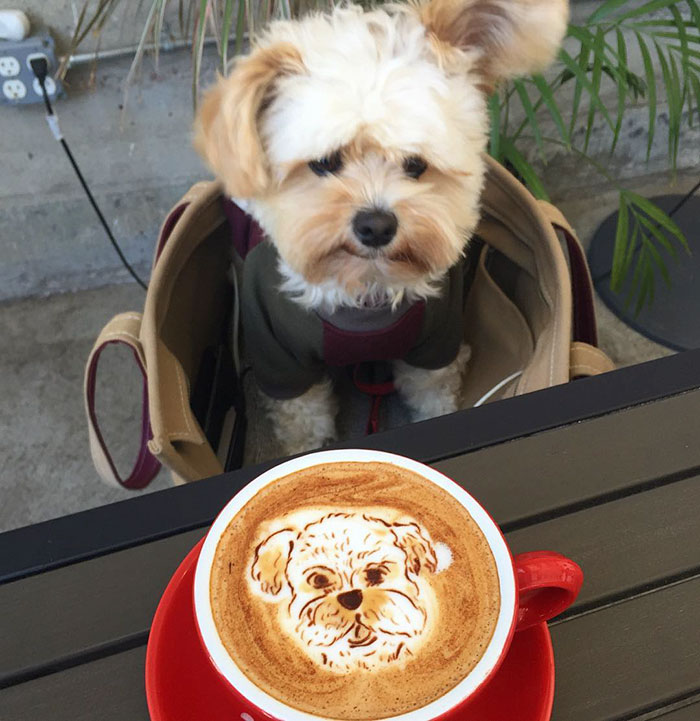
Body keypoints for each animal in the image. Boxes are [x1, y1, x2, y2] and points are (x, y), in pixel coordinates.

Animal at [193, 0, 568, 450]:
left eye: (416, 164)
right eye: (324, 163)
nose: (375, 226)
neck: (365, 296)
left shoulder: (435, 347)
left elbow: (432, 396)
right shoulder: (282, 360)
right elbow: (304, 425)